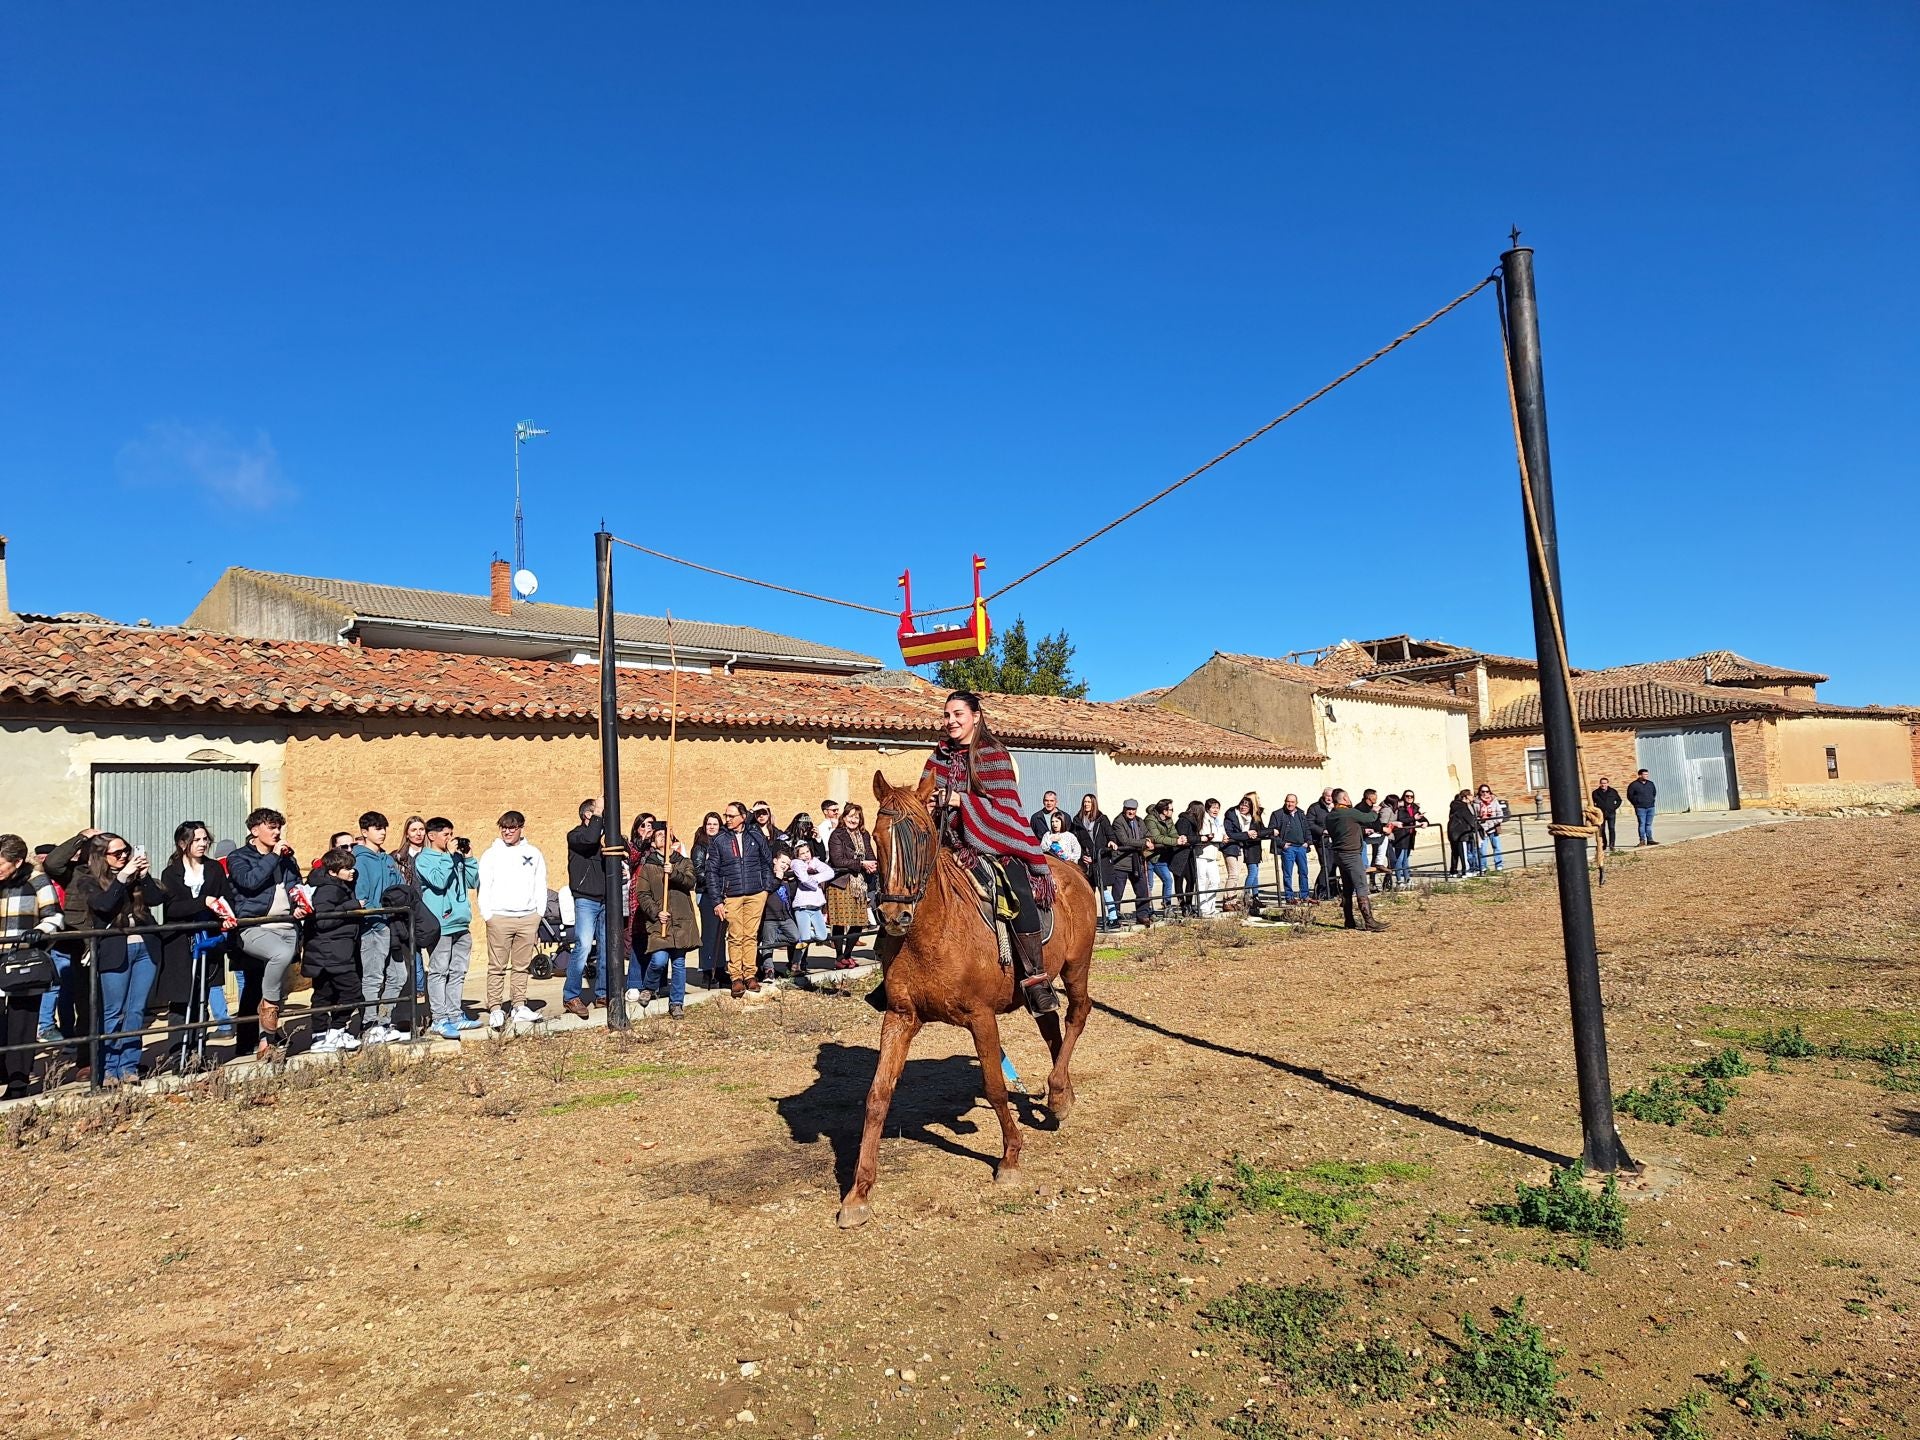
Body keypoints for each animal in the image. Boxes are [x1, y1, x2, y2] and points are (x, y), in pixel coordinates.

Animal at [837, 771, 1098, 1236]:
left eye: (924, 834)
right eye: (876, 837)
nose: (894, 917)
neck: (933, 930)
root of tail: (1072, 869)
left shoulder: (981, 1017)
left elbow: (994, 1086)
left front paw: (1010, 1158)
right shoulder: (900, 1017)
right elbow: (877, 1096)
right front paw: (858, 1193)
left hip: (1076, 966)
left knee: (1076, 1015)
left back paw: (1055, 1091)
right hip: (1038, 985)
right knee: (1050, 1025)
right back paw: (1062, 1096)